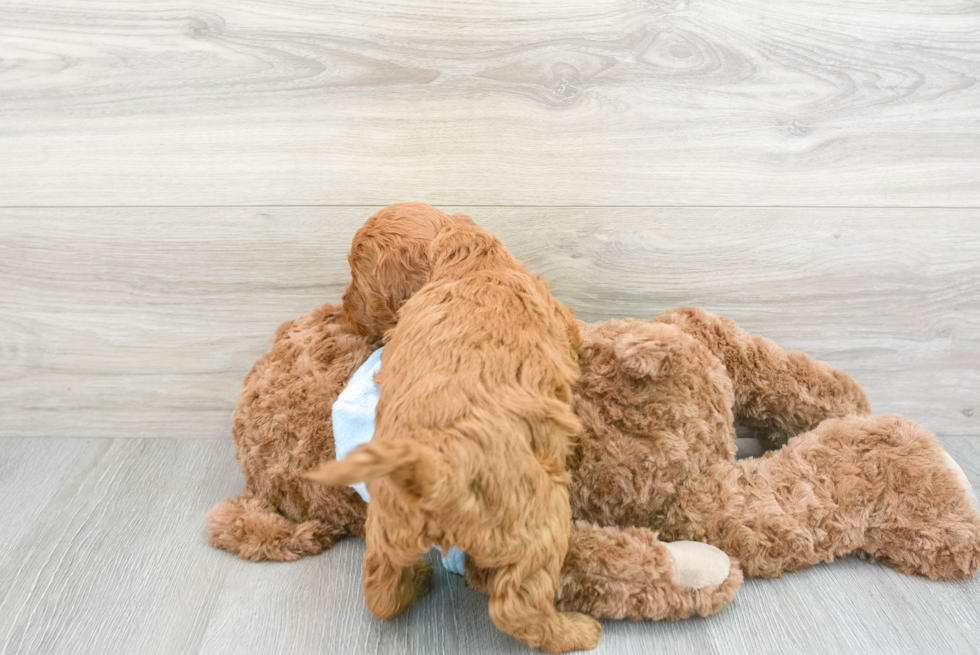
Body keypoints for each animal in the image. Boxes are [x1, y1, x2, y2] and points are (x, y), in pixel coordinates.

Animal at [302, 208, 600, 652]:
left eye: (357, 276)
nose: (343, 310)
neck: (466, 259)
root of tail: (432, 470)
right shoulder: (559, 318)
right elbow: (575, 334)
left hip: (386, 524)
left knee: (381, 589)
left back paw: (416, 583)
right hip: (541, 516)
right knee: (519, 604)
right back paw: (575, 632)